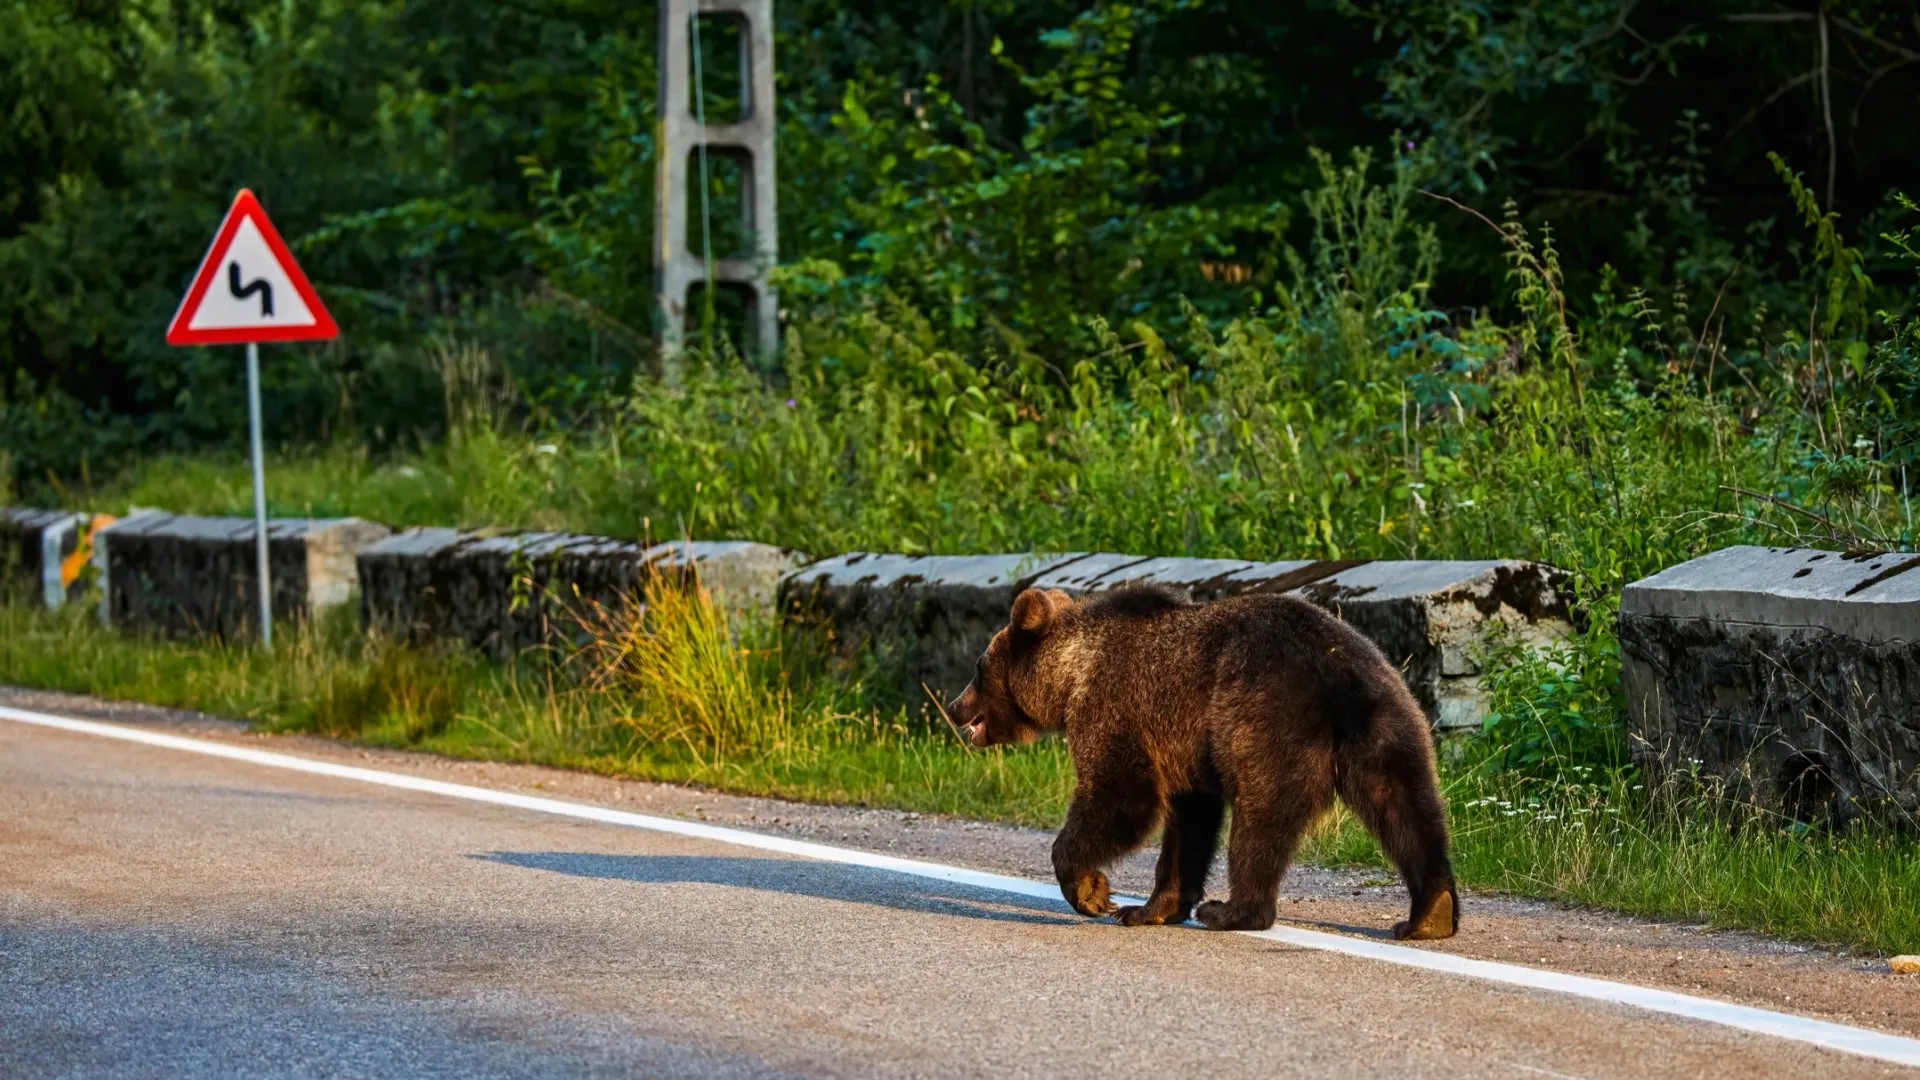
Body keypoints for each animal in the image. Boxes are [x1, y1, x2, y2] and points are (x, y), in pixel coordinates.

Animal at [944, 580, 1451, 933]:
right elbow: (1189, 821)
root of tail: (1334, 670)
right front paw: (1147, 908)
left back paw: (1231, 910)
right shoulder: (1180, 745)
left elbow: (1122, 798)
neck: (1071, 674)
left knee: (1260, 817)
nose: (953, 706)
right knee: (1407, 807)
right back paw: (1430, 913)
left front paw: (1094, 893)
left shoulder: (1116, 708)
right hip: (1390, 718)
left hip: (1264, 720)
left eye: (978, 668)